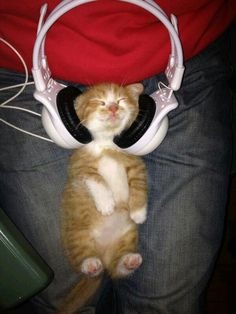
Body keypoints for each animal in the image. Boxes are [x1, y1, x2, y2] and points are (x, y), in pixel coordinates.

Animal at [58, 82, 148, 312]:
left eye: (120, 100)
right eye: (100, 102)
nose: (114, 108)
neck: (107, 144)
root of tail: (104, 256)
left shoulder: (137, 165)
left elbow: (139, 185)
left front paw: (138, 212)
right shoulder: (78, 167)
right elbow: (96, 179)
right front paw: (107, 203)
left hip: (127, 236)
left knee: (116, 270)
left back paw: (129, 261)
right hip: (77, 237)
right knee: (88, 263)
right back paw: (90, 264)